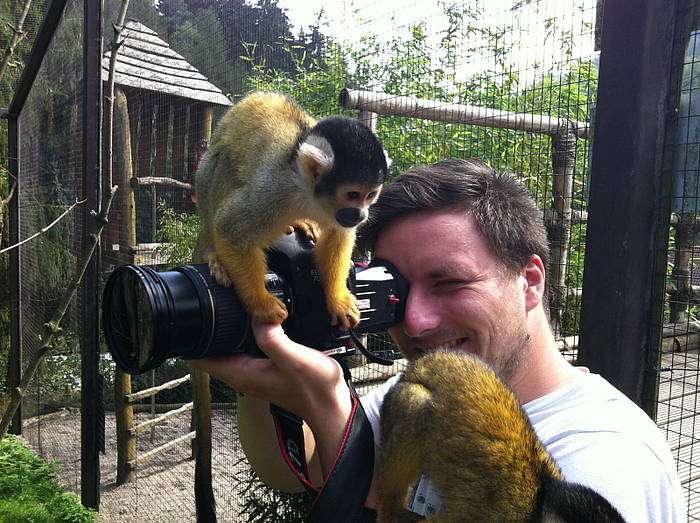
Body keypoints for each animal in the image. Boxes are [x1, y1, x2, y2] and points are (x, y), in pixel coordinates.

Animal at [194, 90, 386, 328]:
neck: (309, 194)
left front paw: (337, 298)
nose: (361, 215)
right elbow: (230, 228)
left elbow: (338, 234)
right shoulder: (273, 191)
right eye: (353, 195)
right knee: (223, 163)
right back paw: (212, 252)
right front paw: (262, 304)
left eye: (371, 195)